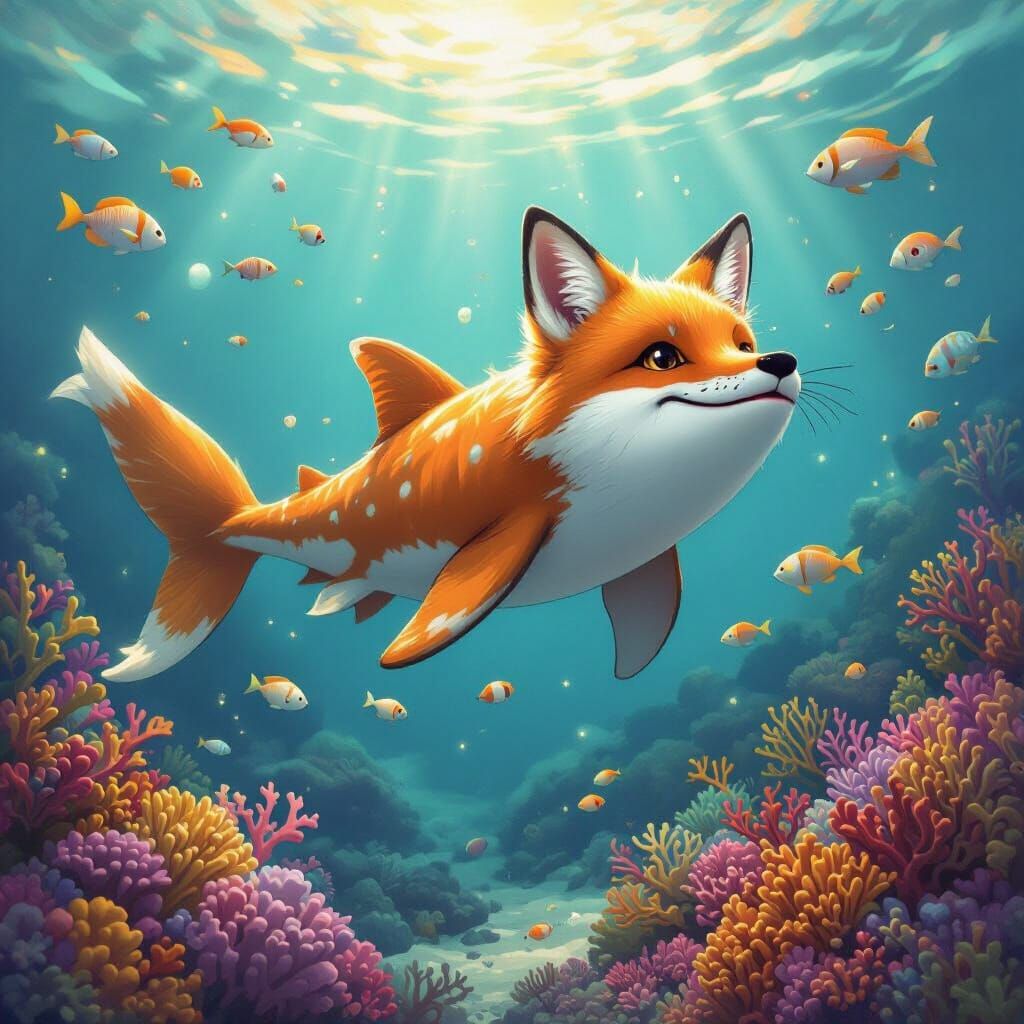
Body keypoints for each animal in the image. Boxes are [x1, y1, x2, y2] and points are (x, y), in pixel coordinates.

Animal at [51, 206, 800, 682]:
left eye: (742, 343)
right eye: (662, 357)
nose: (780, 362)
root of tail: (227, 522)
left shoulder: (644, 556)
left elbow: (650, 618)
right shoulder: (509, 532)